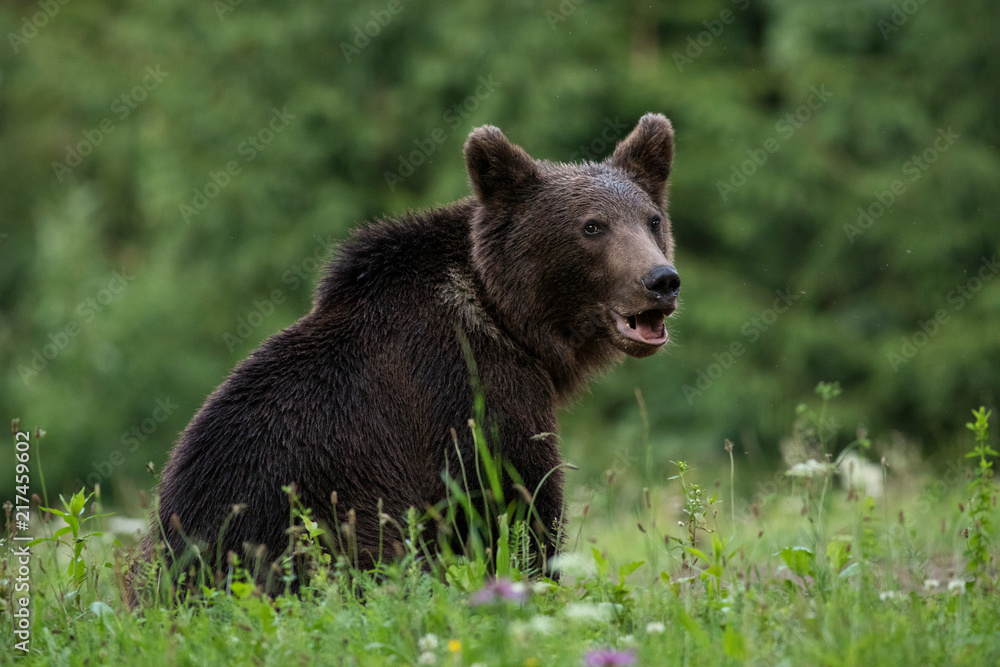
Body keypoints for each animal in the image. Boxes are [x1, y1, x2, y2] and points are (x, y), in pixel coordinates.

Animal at [132, 113, 680, 602]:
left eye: (652, 220)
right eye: (592, 226)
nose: (661, 279)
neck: (506, 317)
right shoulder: (467, 387)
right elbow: (515, 499)